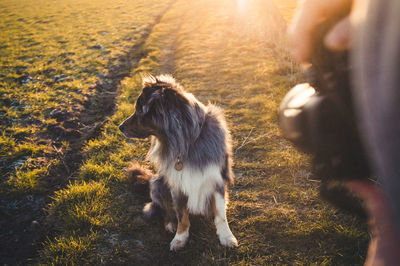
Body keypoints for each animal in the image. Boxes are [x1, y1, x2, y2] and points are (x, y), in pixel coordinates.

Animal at [119, 74, 238, 250]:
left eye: (139, 111)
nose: (120, 127)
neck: (187, 142)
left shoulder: (217, 179)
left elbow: (221, 214)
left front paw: (226, 237)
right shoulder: (177, 185)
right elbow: (182, 216)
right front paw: (180, 238)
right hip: (157, 183)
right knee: (166, 210)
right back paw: (170, 224)